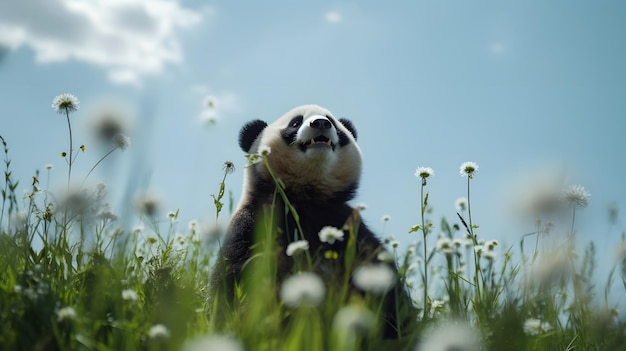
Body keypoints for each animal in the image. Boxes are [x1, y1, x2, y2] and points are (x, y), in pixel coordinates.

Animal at [210, 104, 414, 338]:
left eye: (333, 122)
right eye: (295, 123)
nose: (321, 123)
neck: (306, 196)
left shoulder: (344, 226)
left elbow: (380, 280)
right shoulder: (256, 222)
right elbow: (235, 279)